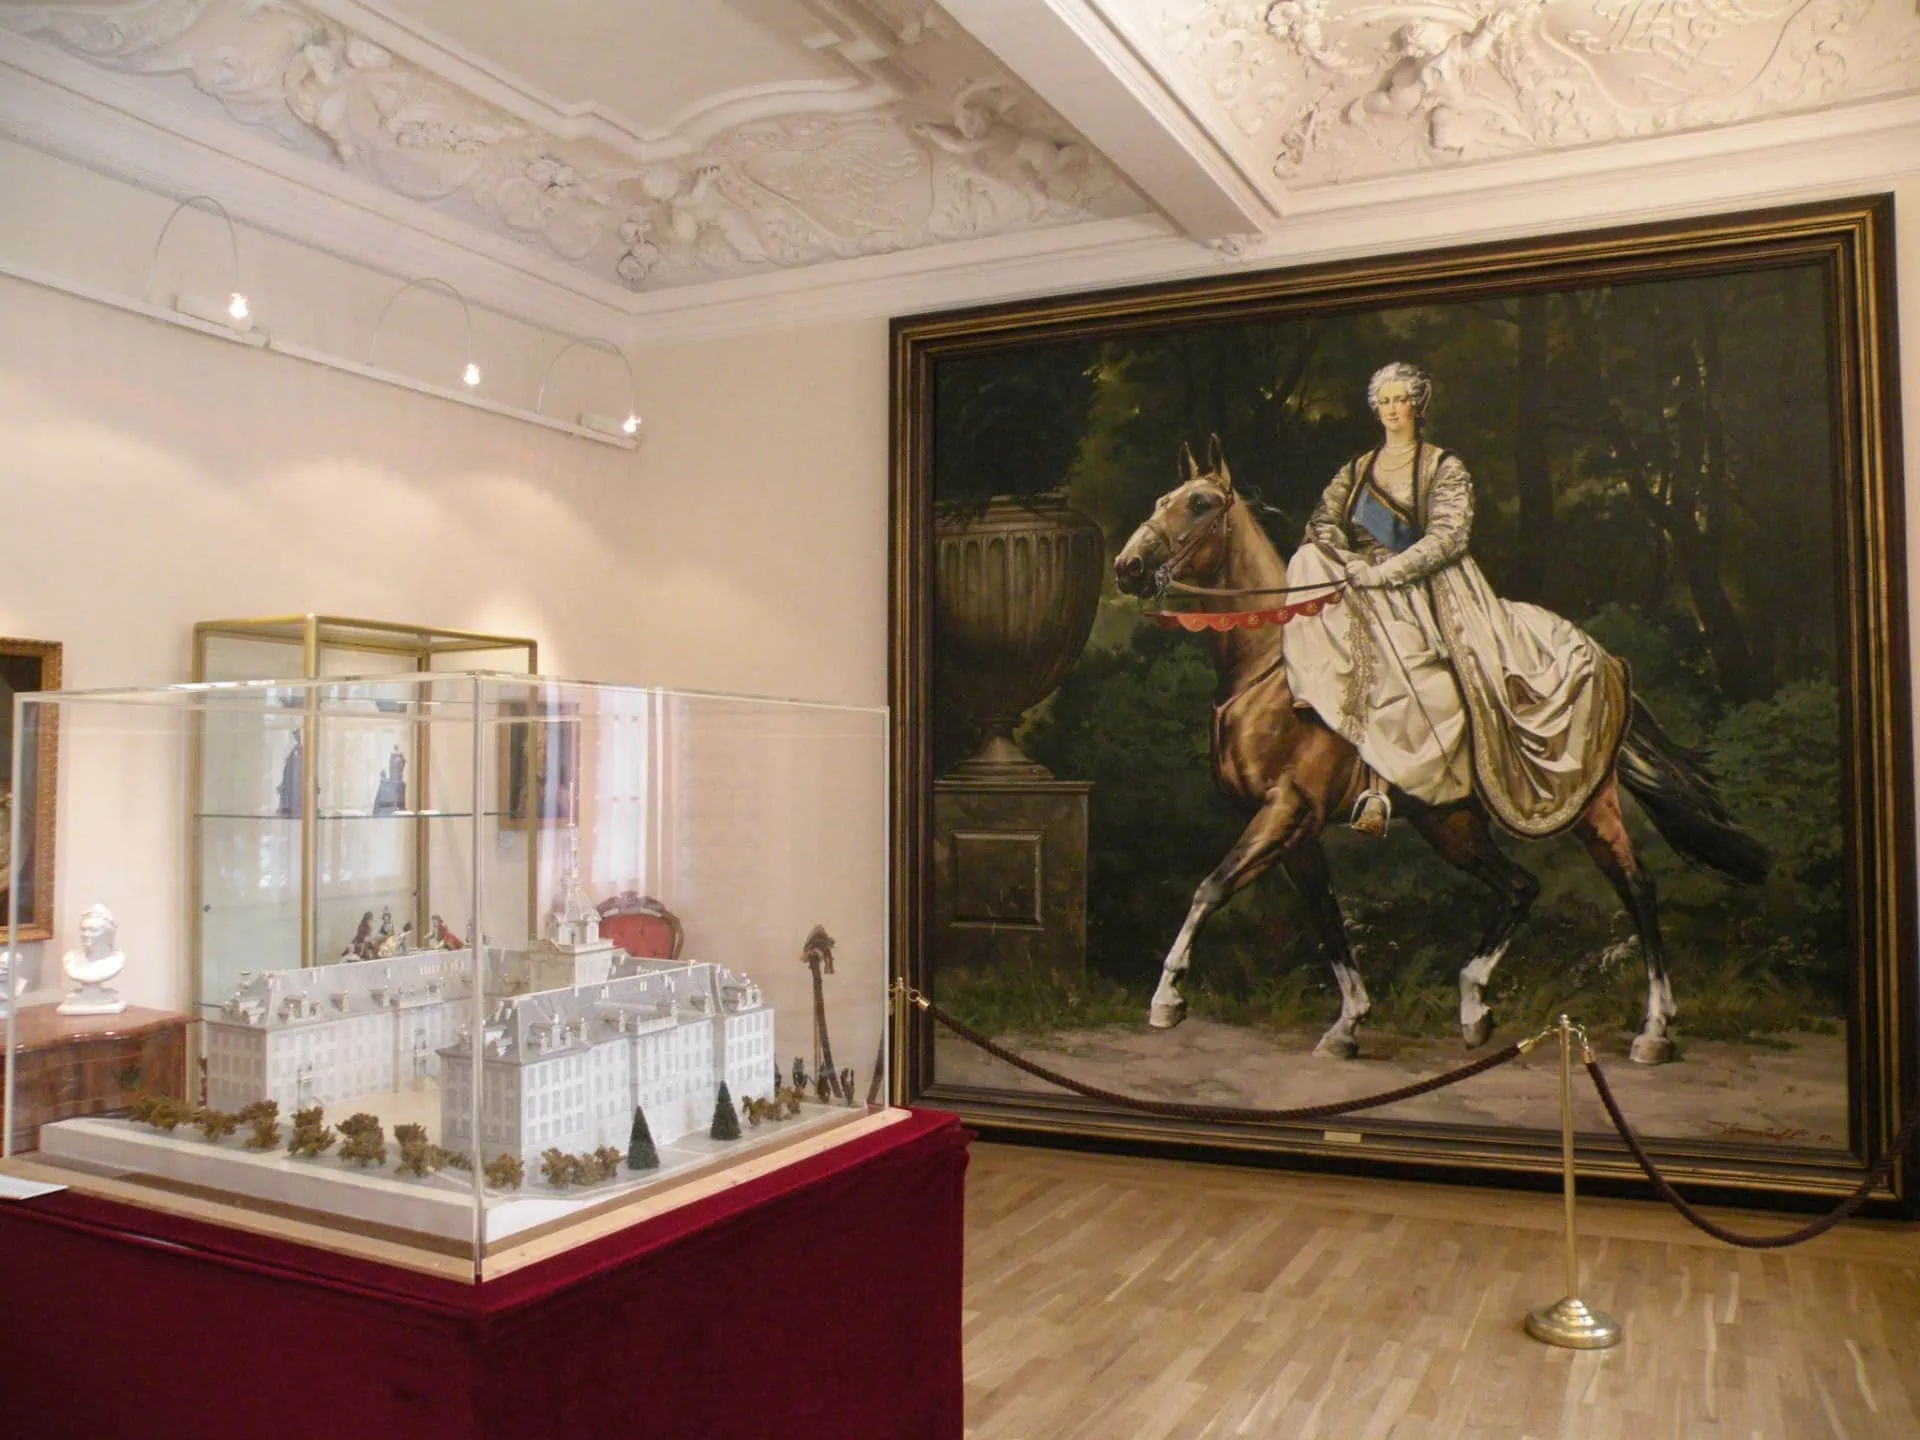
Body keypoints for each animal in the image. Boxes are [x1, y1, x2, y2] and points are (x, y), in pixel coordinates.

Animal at [1110, 439, 1769, 1063]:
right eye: (1161, 499)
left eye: (1199, 504)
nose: (1128, 567)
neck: (1271, 667)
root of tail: (1609, 658)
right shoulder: (1295, 830)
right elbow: (1325, 916)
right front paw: (1347, 1024)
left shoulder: (1286, 811)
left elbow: (1211, 888)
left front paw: (1167, 998)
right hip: (1449, 821)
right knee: (1520, 886)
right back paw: (1475, 1007)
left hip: (1586, 807)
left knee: (1636, 887)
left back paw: (1654, 1031)